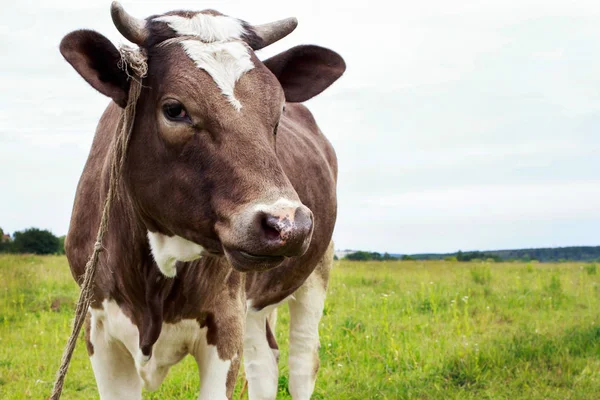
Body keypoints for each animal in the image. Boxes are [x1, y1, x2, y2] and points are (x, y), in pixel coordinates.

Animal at [61, 3, 344, 400]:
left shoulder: (225, 322)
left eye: (278, 112)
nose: (288, 224)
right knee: (264, 362)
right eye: (174, 109)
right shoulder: (98, 328)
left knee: (303, 362)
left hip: (315, 272)